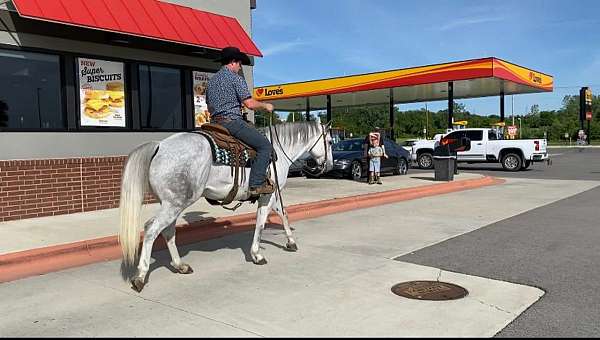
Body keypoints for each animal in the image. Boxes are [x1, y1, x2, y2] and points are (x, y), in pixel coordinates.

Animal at [117, 120, 332, 292]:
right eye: (330, 141)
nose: (328, 166)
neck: (277, 151)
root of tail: (159, 146)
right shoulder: (268, 195)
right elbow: (261, 222)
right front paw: (257, 254)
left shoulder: (272, 195)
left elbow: (283, 214)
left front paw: (290, 242)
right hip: (175, 204)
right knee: (152, 229)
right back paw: (140, 276)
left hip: (171, 203)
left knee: (167, 231)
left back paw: (180, 265)